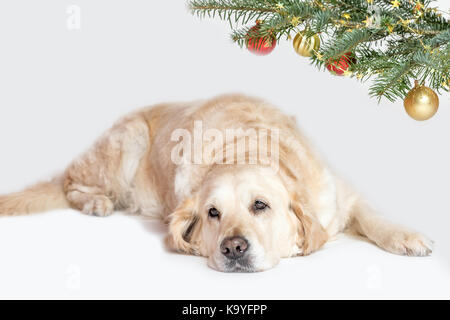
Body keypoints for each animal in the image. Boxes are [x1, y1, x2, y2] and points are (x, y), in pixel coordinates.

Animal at [0, 94, 432, 272]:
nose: (234, 248)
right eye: (213, 213)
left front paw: (407, 237)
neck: (247, 147)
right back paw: (97, 202)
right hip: (128, 139)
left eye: (260, 205)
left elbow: (373, 215)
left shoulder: (339, 195)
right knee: (72, 184)